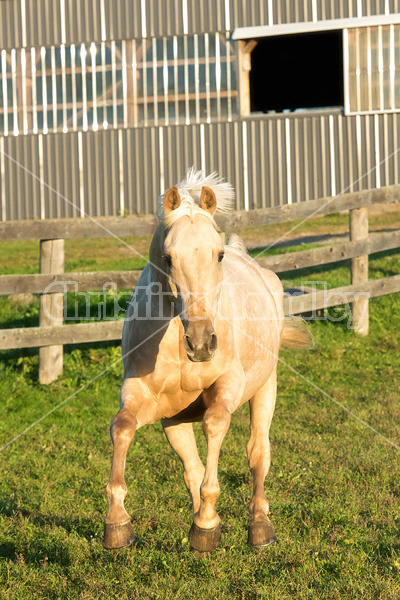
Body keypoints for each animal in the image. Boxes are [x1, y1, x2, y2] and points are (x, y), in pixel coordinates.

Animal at [103, 169, 310, 552]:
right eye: (168, 257)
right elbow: (122, 427)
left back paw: (260, 528)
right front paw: (117, 523)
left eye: (218, 256)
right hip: (175, 421)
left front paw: (207, 524)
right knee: (192, 468)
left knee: (258, 452)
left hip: (265, 388)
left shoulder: (228, 385)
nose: (201, 344)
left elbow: (215, 424)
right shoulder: (143, 396)